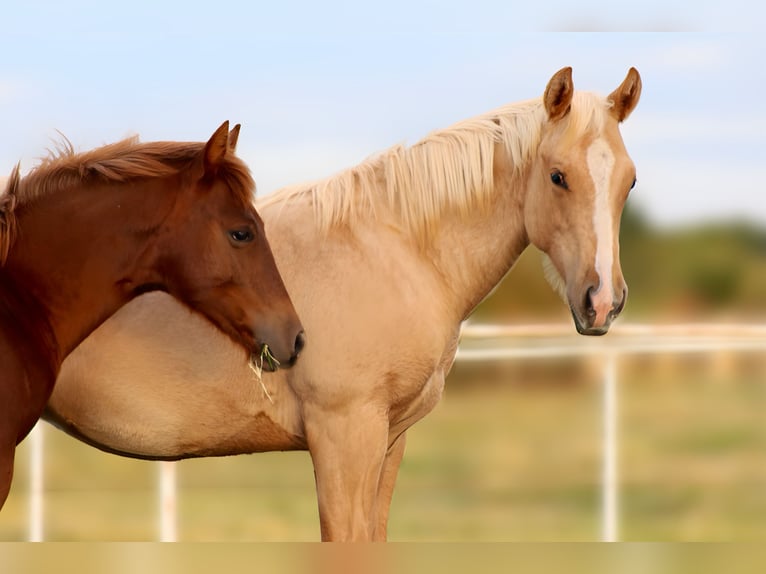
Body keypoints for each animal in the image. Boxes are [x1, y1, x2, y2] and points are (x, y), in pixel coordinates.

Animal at [47, 67, 641, 540]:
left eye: (629, 182)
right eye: (558, 177)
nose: (602, 303)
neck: (397, 252)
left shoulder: (390, 440)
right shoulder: (343, 435)